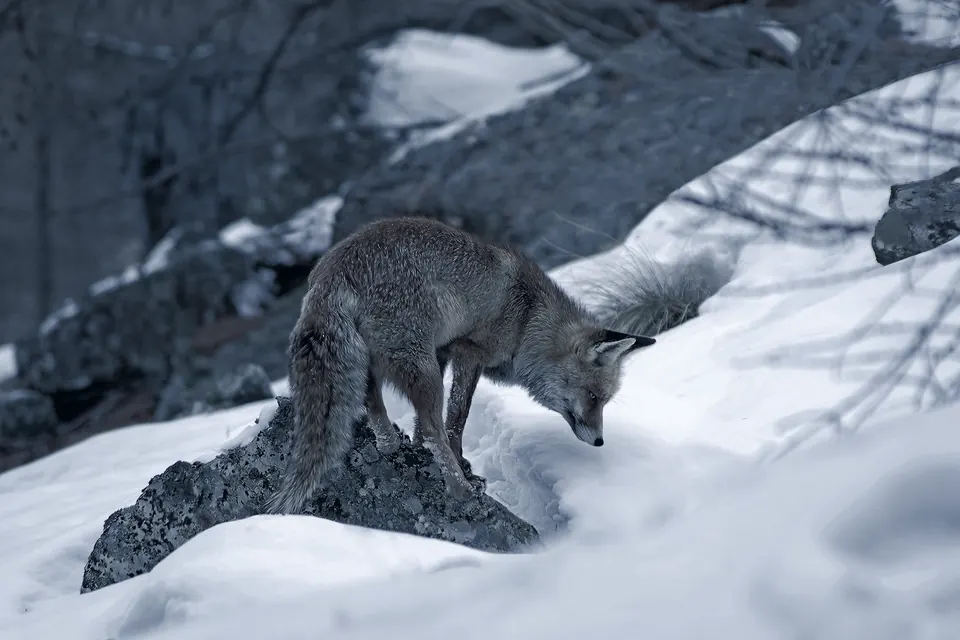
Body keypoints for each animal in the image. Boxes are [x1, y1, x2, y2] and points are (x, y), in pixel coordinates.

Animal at [264, 216, 656, 514]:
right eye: (593, 397)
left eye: (603, 400)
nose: (600, 441)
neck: (528, 319)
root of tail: (332, 270)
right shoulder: (468, 351)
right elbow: (455, 419)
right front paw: (462, 466)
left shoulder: (442, 351)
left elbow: (427, 425)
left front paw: (421, 449)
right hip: (421, 369)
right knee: (433, 428)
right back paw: (459, 489)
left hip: (380, 362)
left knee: (374, 403)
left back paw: (389, 443)